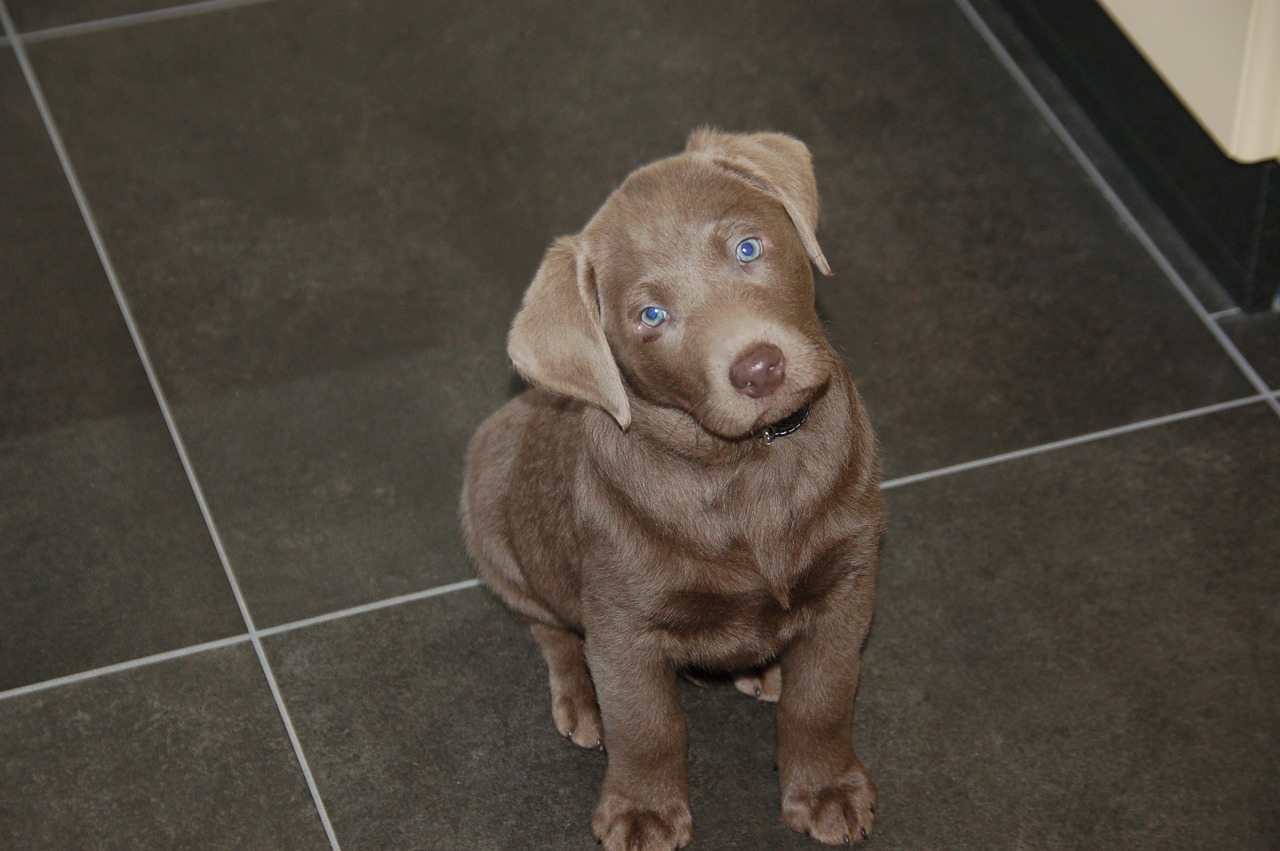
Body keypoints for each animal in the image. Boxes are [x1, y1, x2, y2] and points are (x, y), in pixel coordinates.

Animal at [465, 129, 885, 844]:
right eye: (651, 316)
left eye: (748, 248)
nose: (759, 369)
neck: (747, 464)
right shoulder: (624, 624)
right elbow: (648, 727)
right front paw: (644, 809)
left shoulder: (850, 584)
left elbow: (823, 699)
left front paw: (825, 787)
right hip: (489, 515)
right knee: (549, 630)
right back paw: (581, 700)